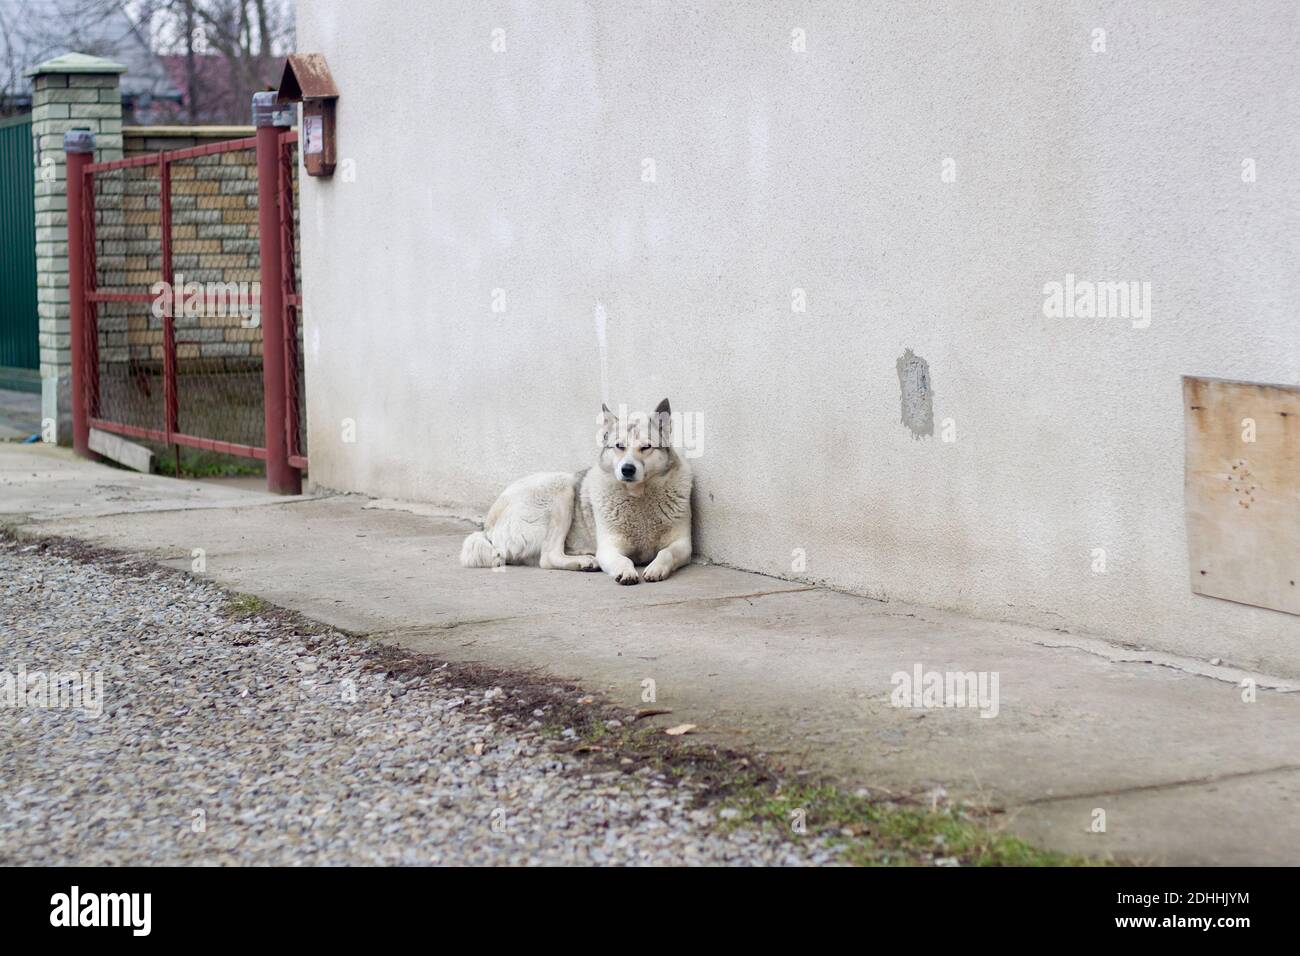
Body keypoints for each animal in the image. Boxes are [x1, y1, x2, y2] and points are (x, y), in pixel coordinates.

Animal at [462, 400, 696, 587]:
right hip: (562, 486)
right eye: (619, 446)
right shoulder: (609, 548)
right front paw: (625, 571)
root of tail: (488, 527)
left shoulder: (683, 545)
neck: (638, 496)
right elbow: (623, 560)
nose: (627, 469)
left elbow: (666, 552)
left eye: (646, 447)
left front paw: (656, 567)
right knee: (548, 557)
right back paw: (585, 562)